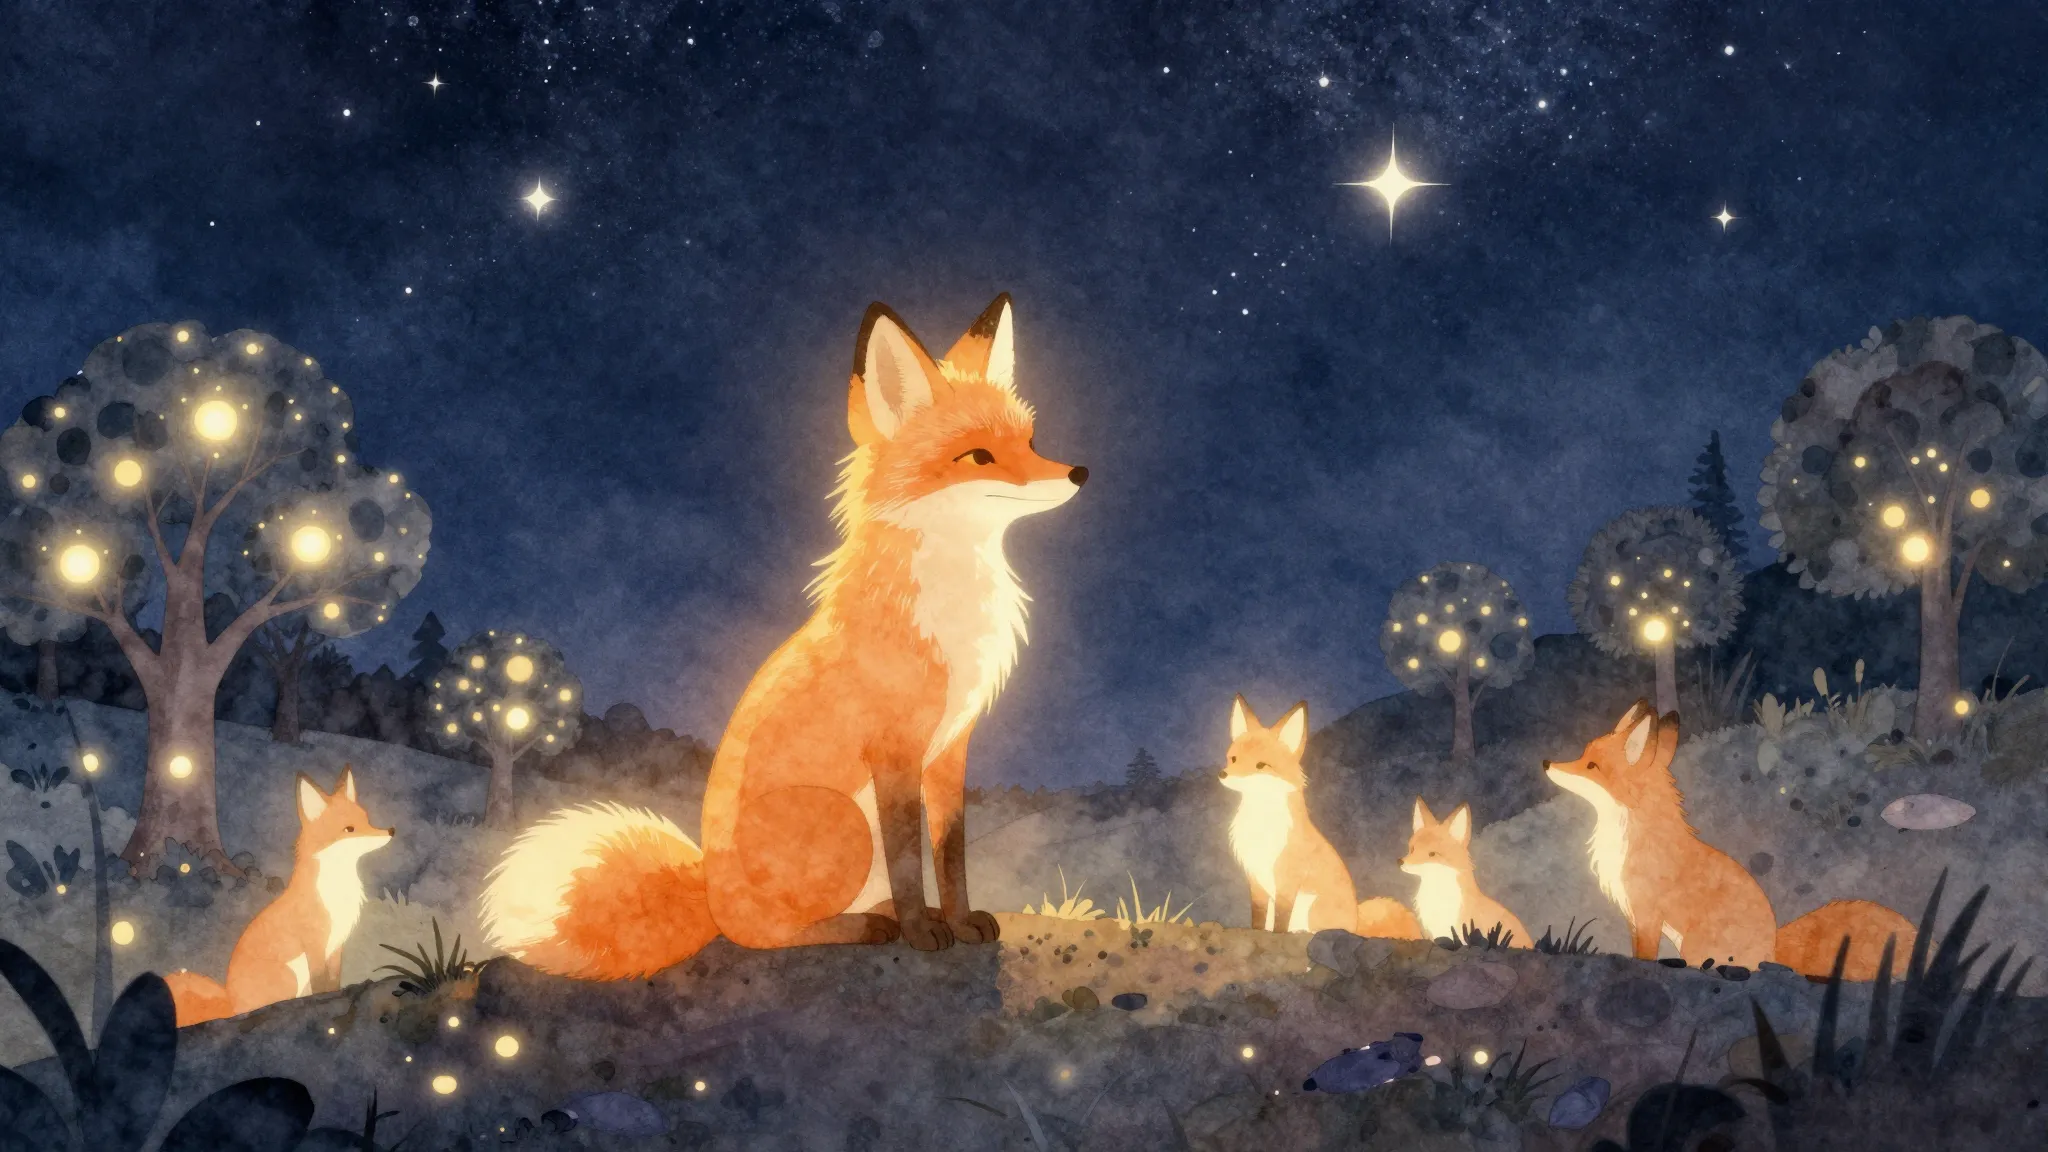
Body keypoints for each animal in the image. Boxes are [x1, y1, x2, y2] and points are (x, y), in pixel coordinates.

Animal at [164, 767, 392, 1026]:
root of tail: (231, 1003)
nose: (391, 831)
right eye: (349, 829)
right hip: (289, 975)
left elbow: (334, 981)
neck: (336, 892)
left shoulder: (336, 946)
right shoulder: (315, 943)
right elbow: (321, 983)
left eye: (367, 819)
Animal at [481, 295, 1087, 978]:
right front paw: (920, 932)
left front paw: (958, 921)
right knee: (760, 934)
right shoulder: (894, 750)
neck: (950, 605)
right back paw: (867, 927)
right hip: (844, 822)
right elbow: (910, 860)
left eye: (1030, 441)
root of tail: (710, 892)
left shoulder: (950, 747)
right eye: (980, 456)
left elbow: (950, 856)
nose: (1079, 473)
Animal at [1221, 696, 1424, 939]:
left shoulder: (1288, 878)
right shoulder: (1256, 877)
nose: (1223, 774)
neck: (1262, 824)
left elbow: (1282, 916)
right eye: (1233, 759)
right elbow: (1259, 915)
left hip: (1313, 908)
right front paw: (1257, 931)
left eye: (1260, 765)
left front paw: (1278, 934)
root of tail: (1356, 921)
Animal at [1544, 700, 1915, 978]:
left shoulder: (1647, 913)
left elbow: (1644, 956)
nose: (1547, 762)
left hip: (1696, 943)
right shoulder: (1634, 916)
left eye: (1591, 766)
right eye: (1583, 754)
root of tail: (1773, 948)